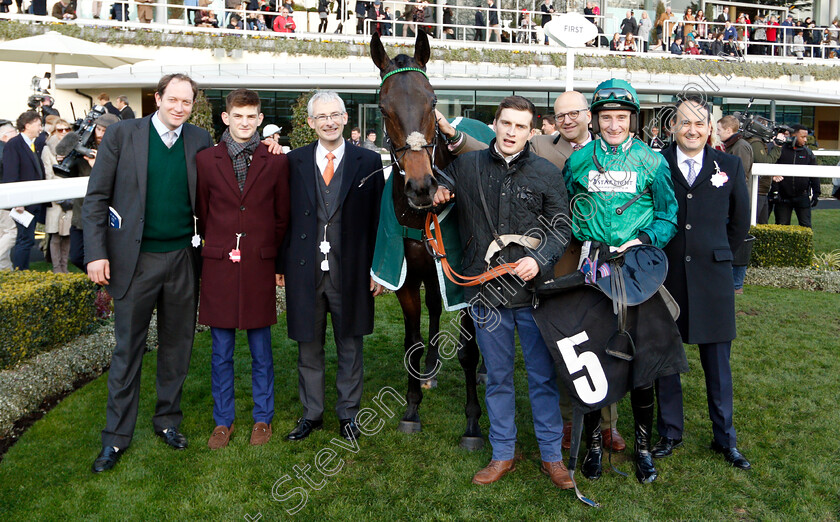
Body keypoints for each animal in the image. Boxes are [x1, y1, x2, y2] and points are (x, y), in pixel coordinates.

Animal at [370, 30, 482, 448]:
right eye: (383, 107)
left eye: (432, 101)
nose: (421, 187)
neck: (422, 216)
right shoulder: (405, 275)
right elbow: (412, 344)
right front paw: (411, 408)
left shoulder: (465, 279)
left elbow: (468, 351)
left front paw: (472, 423)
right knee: (434, 305)